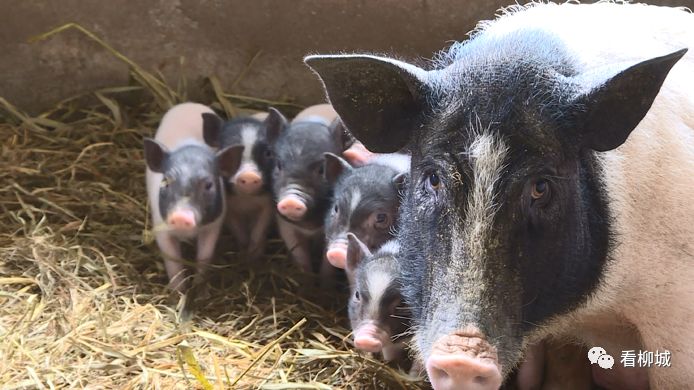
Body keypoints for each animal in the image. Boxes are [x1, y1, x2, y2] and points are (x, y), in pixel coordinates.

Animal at [144, 103, 245, 292]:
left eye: (208, 185)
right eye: (166, 181)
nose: (181, 216)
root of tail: (188, 104)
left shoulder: (214, 225)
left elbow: (204, 257)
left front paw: (199, 288)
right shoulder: (160, 227)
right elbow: (173, 262)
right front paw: (178, 292)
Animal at [204, 109, 286, 262]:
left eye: (267, 153)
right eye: (228, 152)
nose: (249, 175)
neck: (246, 200)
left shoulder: (268, 205)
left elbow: (259, 228)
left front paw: (254, 255)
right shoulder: (228, 208)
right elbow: (238, 230)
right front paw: (244, 254)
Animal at [272, 105, 348, 278]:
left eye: (321, 169)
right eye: (279, 165)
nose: (291, 201)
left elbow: (327, 263)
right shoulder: (285, 225)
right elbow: (300, 255)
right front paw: (306, 278)